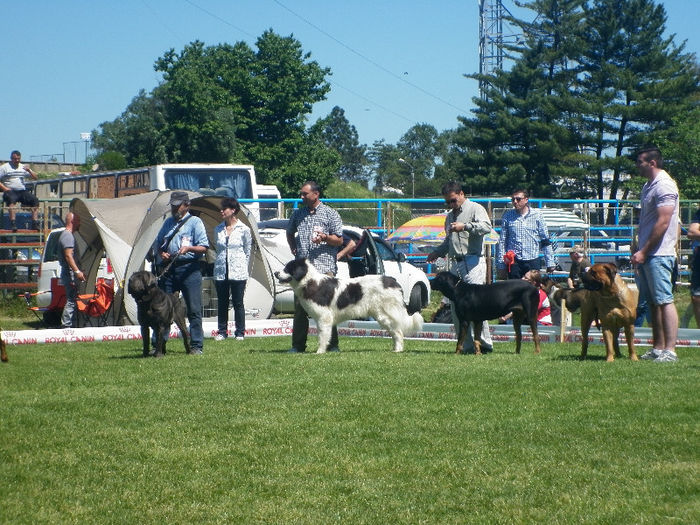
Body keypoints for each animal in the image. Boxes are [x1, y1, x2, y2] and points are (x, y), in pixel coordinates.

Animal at [276, 258, 424, 352]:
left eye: (288, 268)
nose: (276, 273)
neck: (309, 282)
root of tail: (393, 281)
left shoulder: (324, 318)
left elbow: (322, 336)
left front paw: (319, 352)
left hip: (384, 314)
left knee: (398, 332)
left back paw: (397, 350)